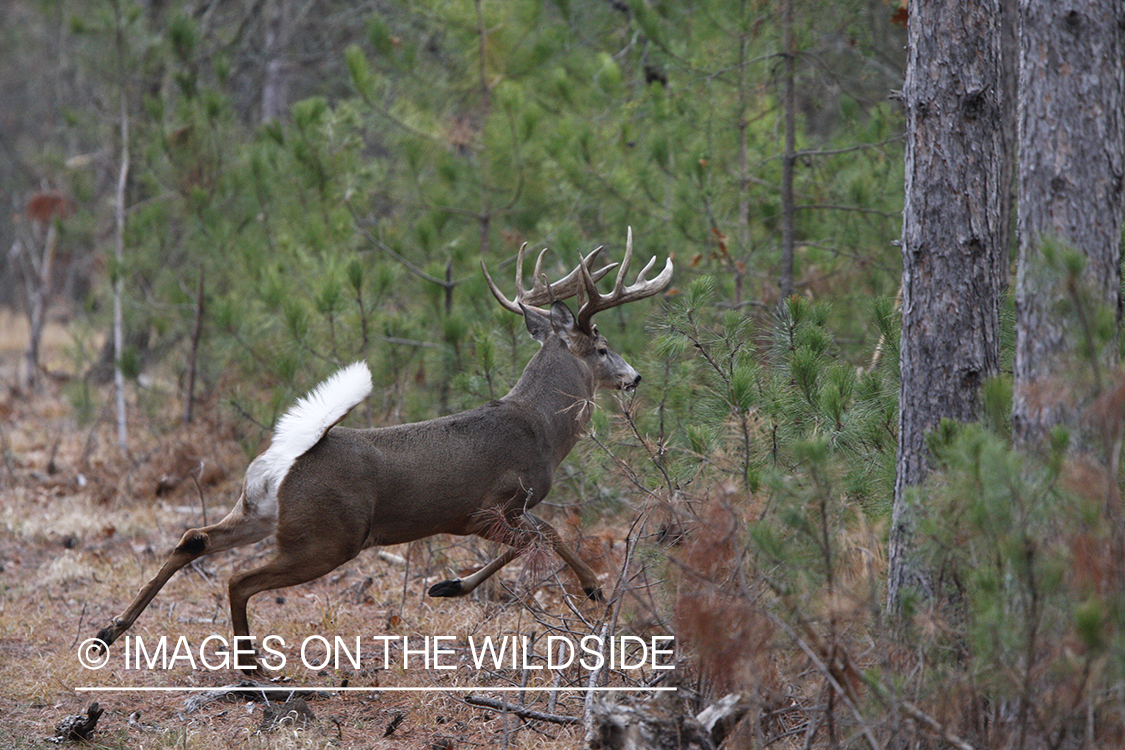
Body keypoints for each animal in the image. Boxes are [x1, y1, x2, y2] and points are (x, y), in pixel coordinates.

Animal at [94, 227, 666, 670]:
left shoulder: (496, 512)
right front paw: (591, 588)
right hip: (327, 537)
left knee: (193, 538)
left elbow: (539, 537)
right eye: (602, 348)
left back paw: (110, 631)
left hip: (259, 512)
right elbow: (545, 535)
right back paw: (251, 667)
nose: (635, 376)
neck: (541, 428)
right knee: (238, 578)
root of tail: (288, 459)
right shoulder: (489, 507)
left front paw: (449, 586)